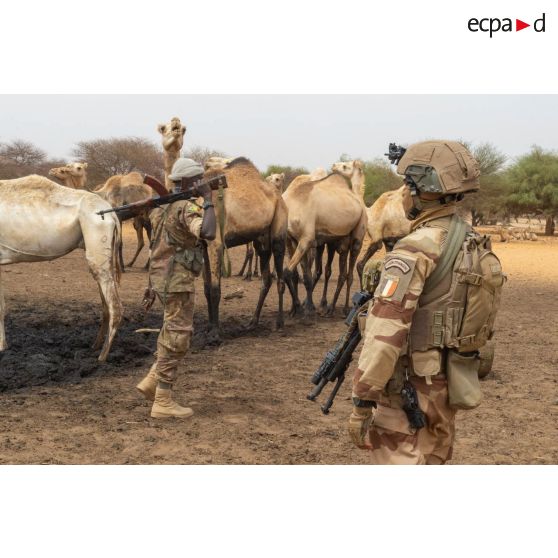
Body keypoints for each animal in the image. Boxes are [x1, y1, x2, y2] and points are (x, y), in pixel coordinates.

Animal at [0, 177, 123, 366]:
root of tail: (112, 214)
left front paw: (1, 348)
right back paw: (95, 346)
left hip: (96, 230)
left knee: (114, 305)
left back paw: (102, 357)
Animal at [202, 155, 288, 344]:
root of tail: (280, 198)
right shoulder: (201, 245)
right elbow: (206, 288)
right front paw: (208, 327)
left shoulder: (216, 243)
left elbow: (215, 289)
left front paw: (214, 334)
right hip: (261, 241)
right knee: (266, 279)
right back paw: (252, 323)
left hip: (278, 237)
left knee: (280, 279)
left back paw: (279, 323)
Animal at [282, 168, 370, 320]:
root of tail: (361, 204)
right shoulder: (292, 238)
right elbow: (299, 275)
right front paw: (297, 309)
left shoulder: (307, 239)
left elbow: (290, 272)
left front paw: (305, 310)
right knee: (342, 272)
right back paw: (331, 308)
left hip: (358, 235)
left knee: (349, 273)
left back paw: (343, 309)